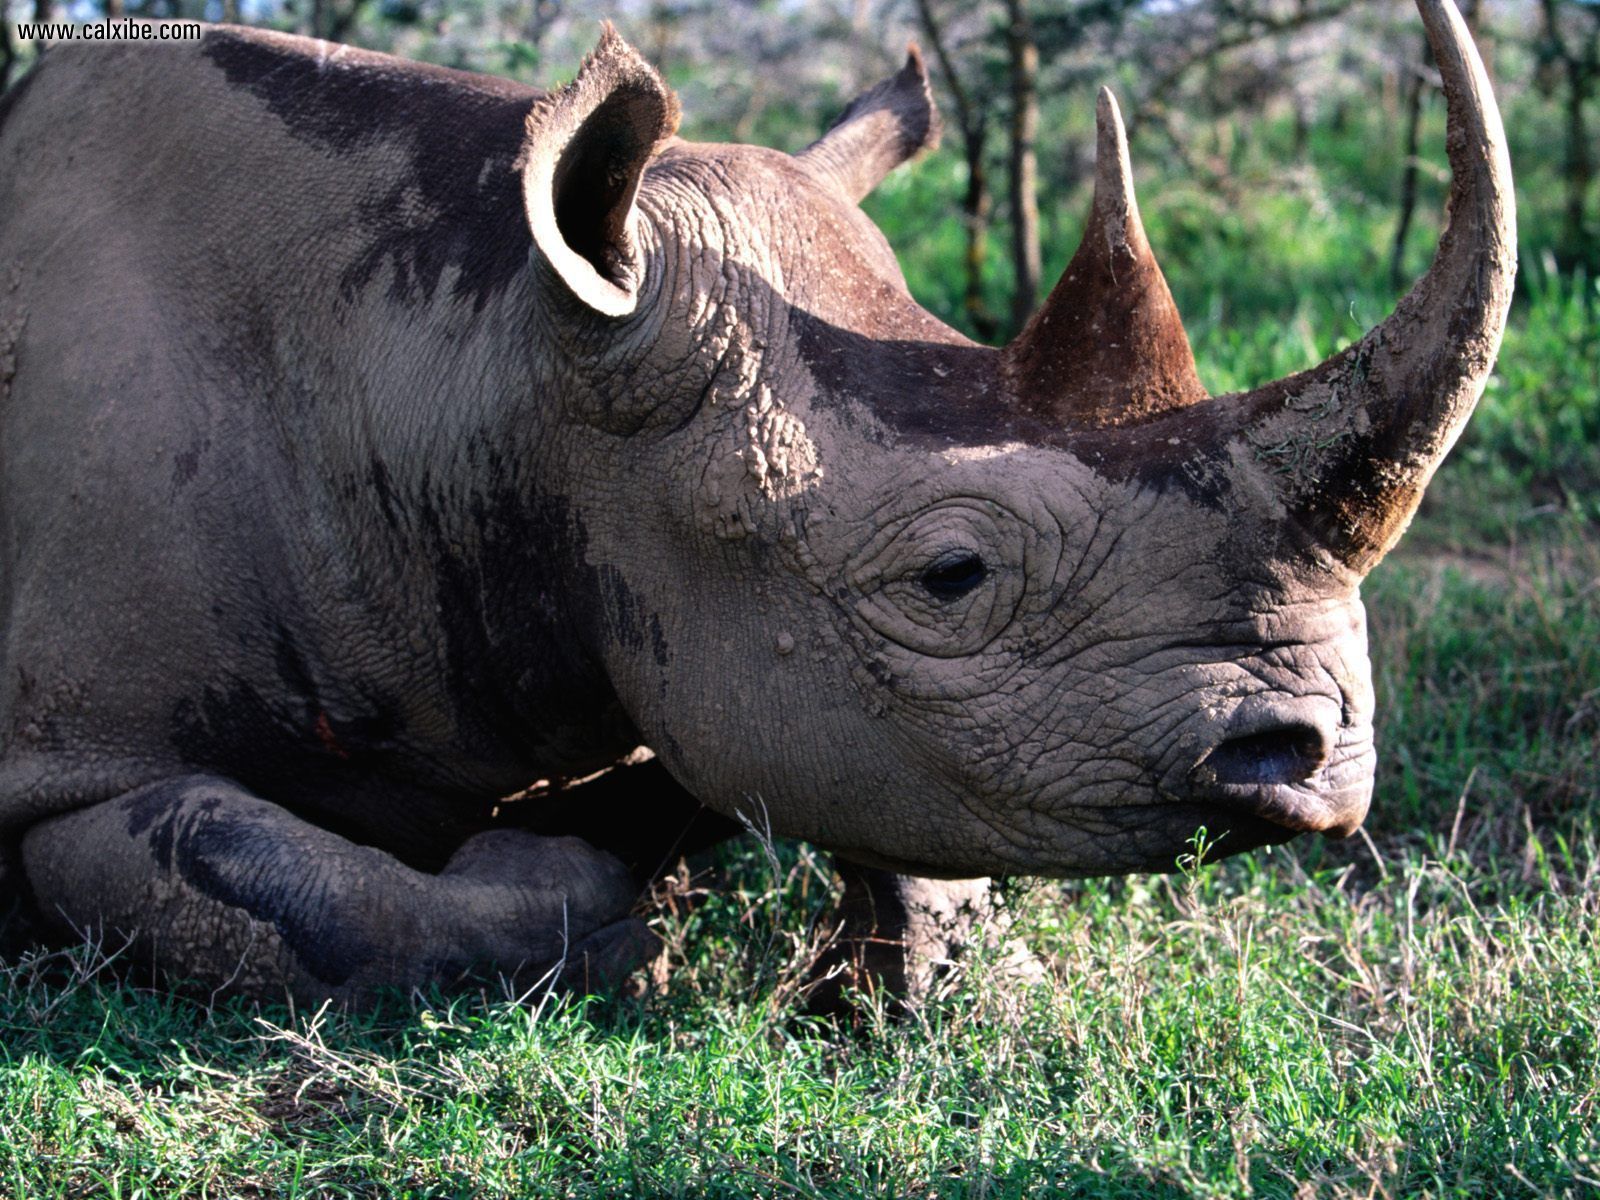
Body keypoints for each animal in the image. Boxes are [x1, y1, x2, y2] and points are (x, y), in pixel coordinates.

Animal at [0, 0, 1512, 1003]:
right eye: (948, 577)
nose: (1317, 760)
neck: (490, 355)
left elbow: (882, 787)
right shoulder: (66, 760)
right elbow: (304, 901)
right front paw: (580, 886)